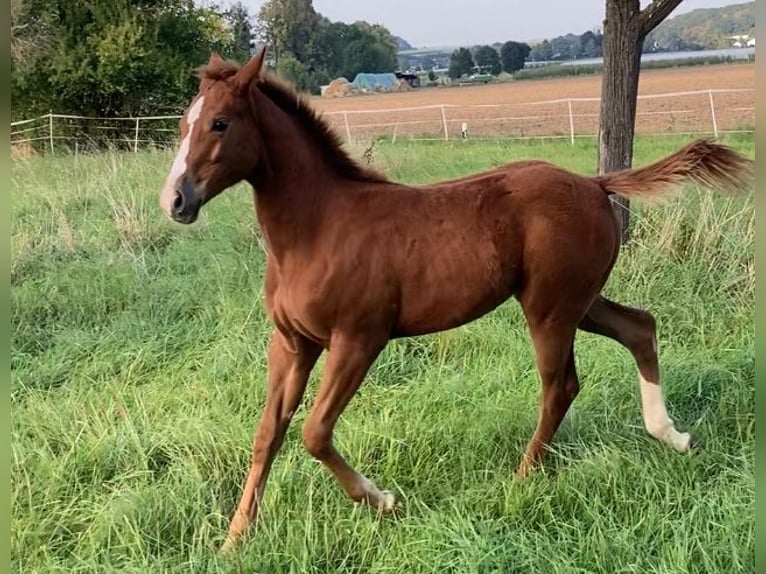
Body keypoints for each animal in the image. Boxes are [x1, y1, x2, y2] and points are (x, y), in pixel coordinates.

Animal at [158, 48, 753, 552]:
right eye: (184, 123)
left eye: (220, 123)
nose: (175, 200)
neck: (317, 227)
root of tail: (595, 183)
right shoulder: (292, 344)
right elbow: (267, 434)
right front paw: (234, 538)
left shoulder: (358, 338)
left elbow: (313, 432)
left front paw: (384, 502)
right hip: (578, 301)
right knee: (639, 327)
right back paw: (672, 436)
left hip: (550, 309)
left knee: (561, 386)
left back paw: (523, 477)